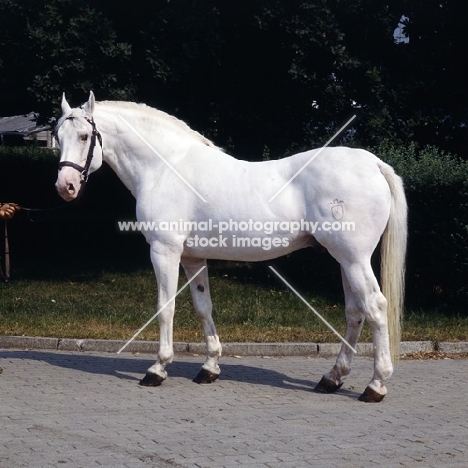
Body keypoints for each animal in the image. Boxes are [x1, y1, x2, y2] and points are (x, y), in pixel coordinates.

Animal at [54, 92, 406, 402]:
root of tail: (373, 164)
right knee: (355, 312)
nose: (65, 186)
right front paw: (210, 367)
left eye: (84, 136)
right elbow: (203, 307)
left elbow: (165, 307)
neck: (165, 167)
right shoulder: (193, 257)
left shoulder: (164, 251)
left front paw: (157, 369)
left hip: (353, 258)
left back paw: (375, 385)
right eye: (58, 137)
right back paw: (332, 378)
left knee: (375, 307)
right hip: (345, 260)